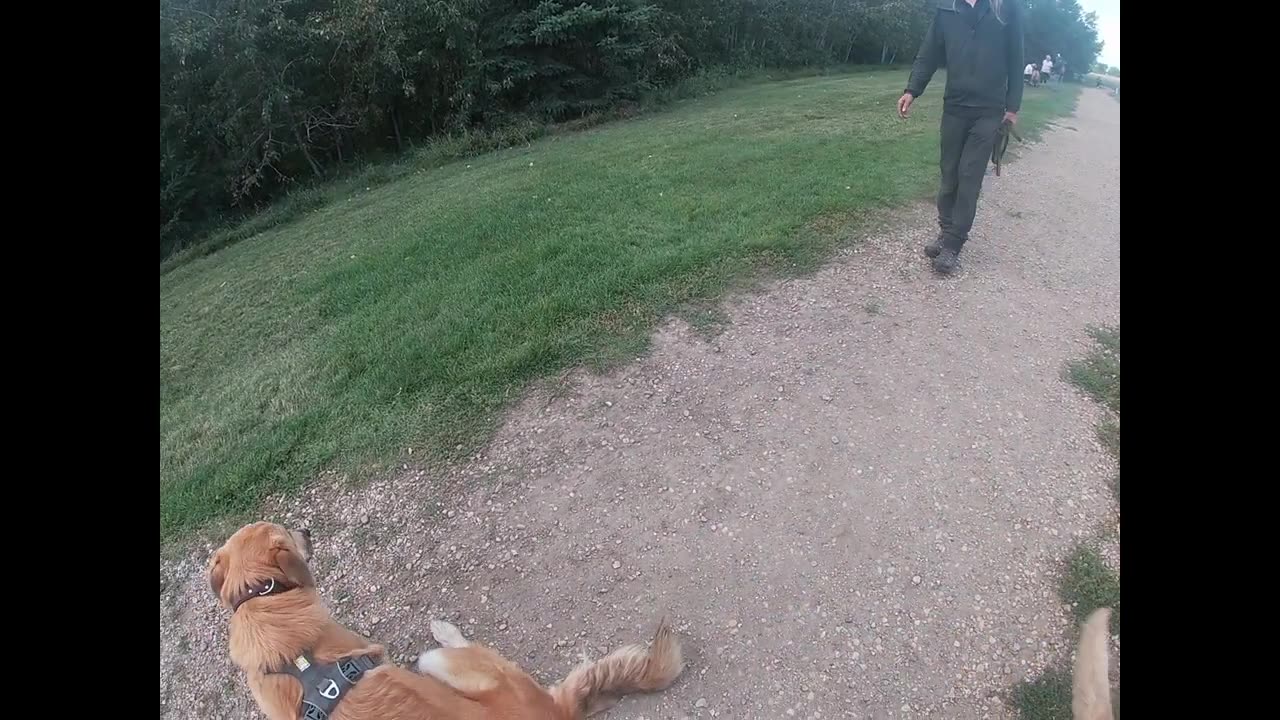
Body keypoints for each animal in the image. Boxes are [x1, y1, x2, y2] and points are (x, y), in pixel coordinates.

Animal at [209, 520, 686, 717]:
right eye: (288, 532)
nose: (307, 530)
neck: (260, 603)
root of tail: (558, 711)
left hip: (435, 662)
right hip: (440, 663)